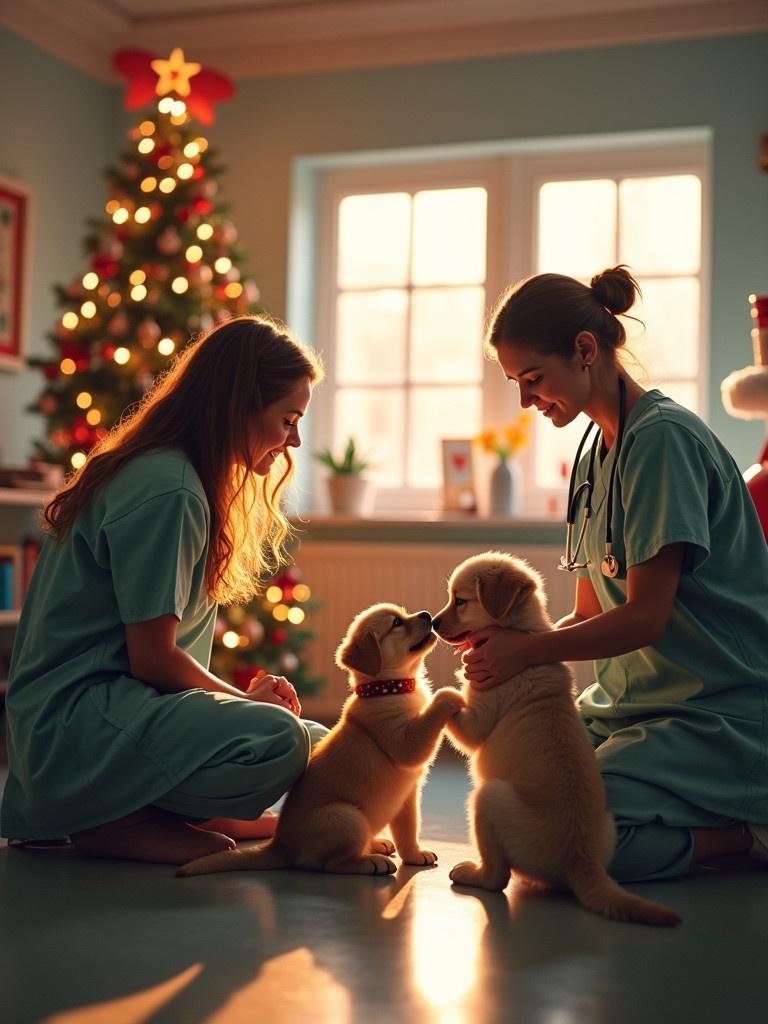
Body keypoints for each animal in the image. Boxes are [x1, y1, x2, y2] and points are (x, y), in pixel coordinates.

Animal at [179, 602, 462, 876]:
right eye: (396, 623)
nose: (426, 614)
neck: (388, 689)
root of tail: (281, 846)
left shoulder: (408, 797)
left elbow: (408, 829)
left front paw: (414, 854)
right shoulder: (404, 743)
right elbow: (424, 726)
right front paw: (450, 695)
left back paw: (375, 844)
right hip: (348, 817)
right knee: (330, 863)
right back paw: (368, 862)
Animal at [436, 552, 684, 929]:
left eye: (460, 601)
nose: (432, 623)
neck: (518, 631)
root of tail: (580, 859)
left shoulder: (475, 722)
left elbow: (451, 698)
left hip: (488, 798)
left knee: (497, 878)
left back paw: (470, 873)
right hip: (608, 824)